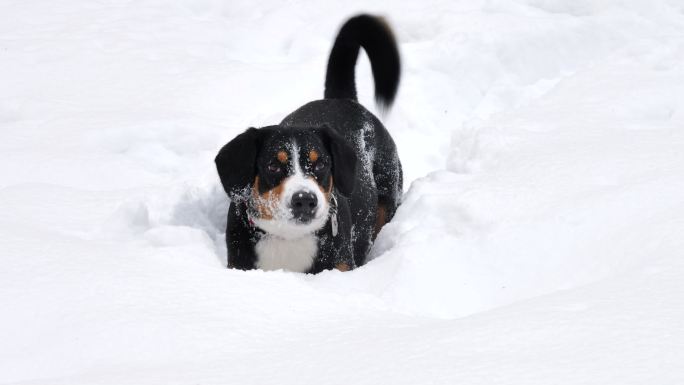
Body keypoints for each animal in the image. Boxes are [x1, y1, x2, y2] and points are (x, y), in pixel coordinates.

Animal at [215, 14, 400, 272]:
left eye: (321, 164)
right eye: (273, 166)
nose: (304, 200)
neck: (288, 239)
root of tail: (340, 98)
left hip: (388, 192)